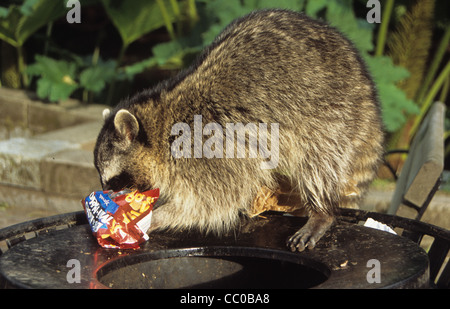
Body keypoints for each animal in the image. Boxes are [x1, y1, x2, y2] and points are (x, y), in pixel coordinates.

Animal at [95, 9, 384, 250]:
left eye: (115, 181)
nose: (108, 199)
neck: (161, 125)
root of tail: (366, 91)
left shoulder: (205, 150)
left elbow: (213, 202)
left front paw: (153, 217)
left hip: (330, 116)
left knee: (317, 164)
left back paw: (321, 211)